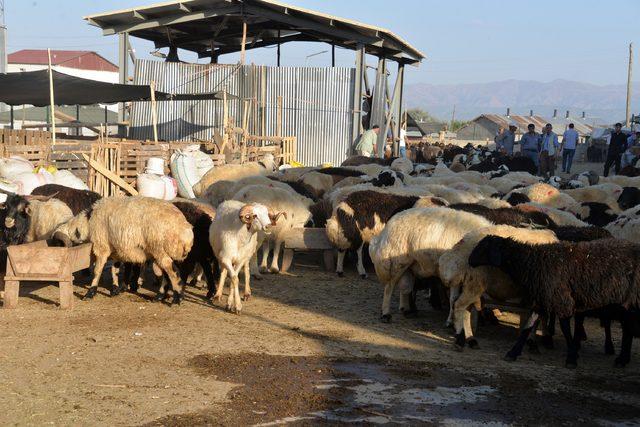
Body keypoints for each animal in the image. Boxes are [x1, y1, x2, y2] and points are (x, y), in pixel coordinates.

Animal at [61, 197, 194, 304]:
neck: (89, 221)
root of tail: (186, 231)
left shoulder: (102, 247)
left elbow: (97, 271)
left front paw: (90, 293)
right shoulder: (115, 250)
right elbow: (115, 269)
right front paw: (115, 289)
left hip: (160, 250)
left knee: (173, 272)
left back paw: (177, 298)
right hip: (162, 253)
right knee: (166, 274)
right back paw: (159, 297)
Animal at [468, 236, 640, 370]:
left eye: (483, 247)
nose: (469, 261)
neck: (532, 263)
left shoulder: (561, 299)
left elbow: (565, 328)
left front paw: (571, 358)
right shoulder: (541, 300)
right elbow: (528, 325)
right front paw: (513, 352)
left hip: (630, 303)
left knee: (627, 330)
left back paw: (621, 358)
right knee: (628, 330)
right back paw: (622, 359)